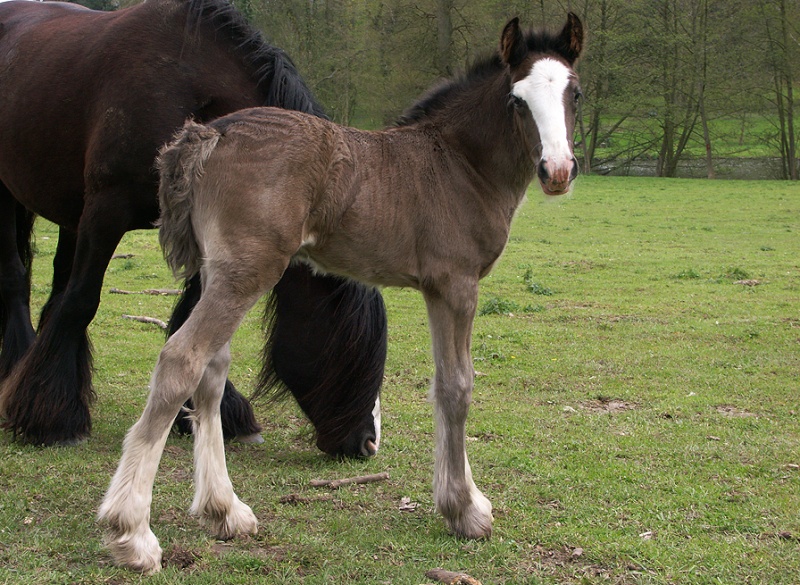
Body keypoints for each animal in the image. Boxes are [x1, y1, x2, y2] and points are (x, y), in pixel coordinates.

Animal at [0, 0, 388, 454]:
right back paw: (21, 369)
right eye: (347, 337)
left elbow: (195, 319)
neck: (188, 95)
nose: (366, 442)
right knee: (17, 280)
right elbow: (82, 301)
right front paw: (51, 418)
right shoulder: (105, 211)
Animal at [103, 12, 584, 572]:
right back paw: (132, 533)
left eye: (575, 93)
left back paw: (225, 511)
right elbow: (457, 386)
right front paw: (466, 512)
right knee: (182, 360)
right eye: (516, 99)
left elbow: (443, 384)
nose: (557, 171)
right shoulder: (457, 284)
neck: (459, 164)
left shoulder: (436, 290)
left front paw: (462, 501)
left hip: (220, 271)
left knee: (212, 371)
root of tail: (214, 132)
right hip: (247, 271)